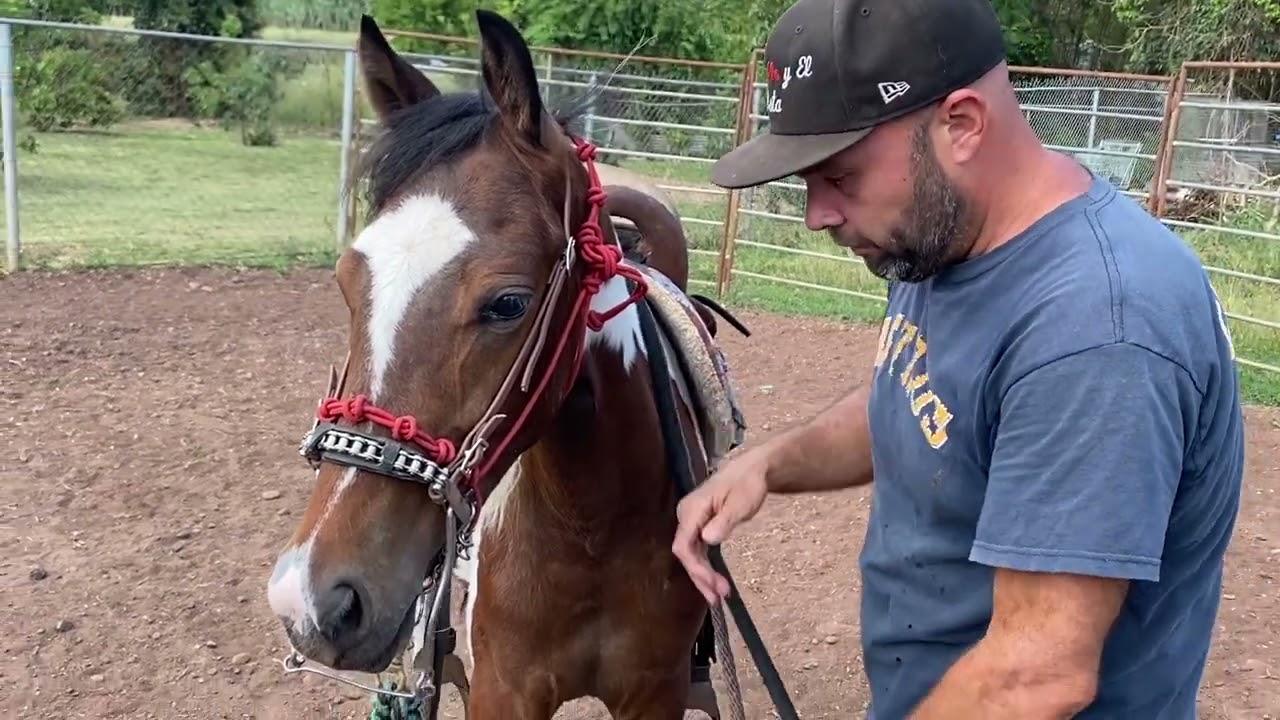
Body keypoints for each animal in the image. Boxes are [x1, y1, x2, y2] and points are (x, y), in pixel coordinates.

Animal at [265, 9, 750, 719]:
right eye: (347, 281)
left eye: (508, 304)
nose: (312, 598)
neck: (590, 529)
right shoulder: (504, 688)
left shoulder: (653, 693)